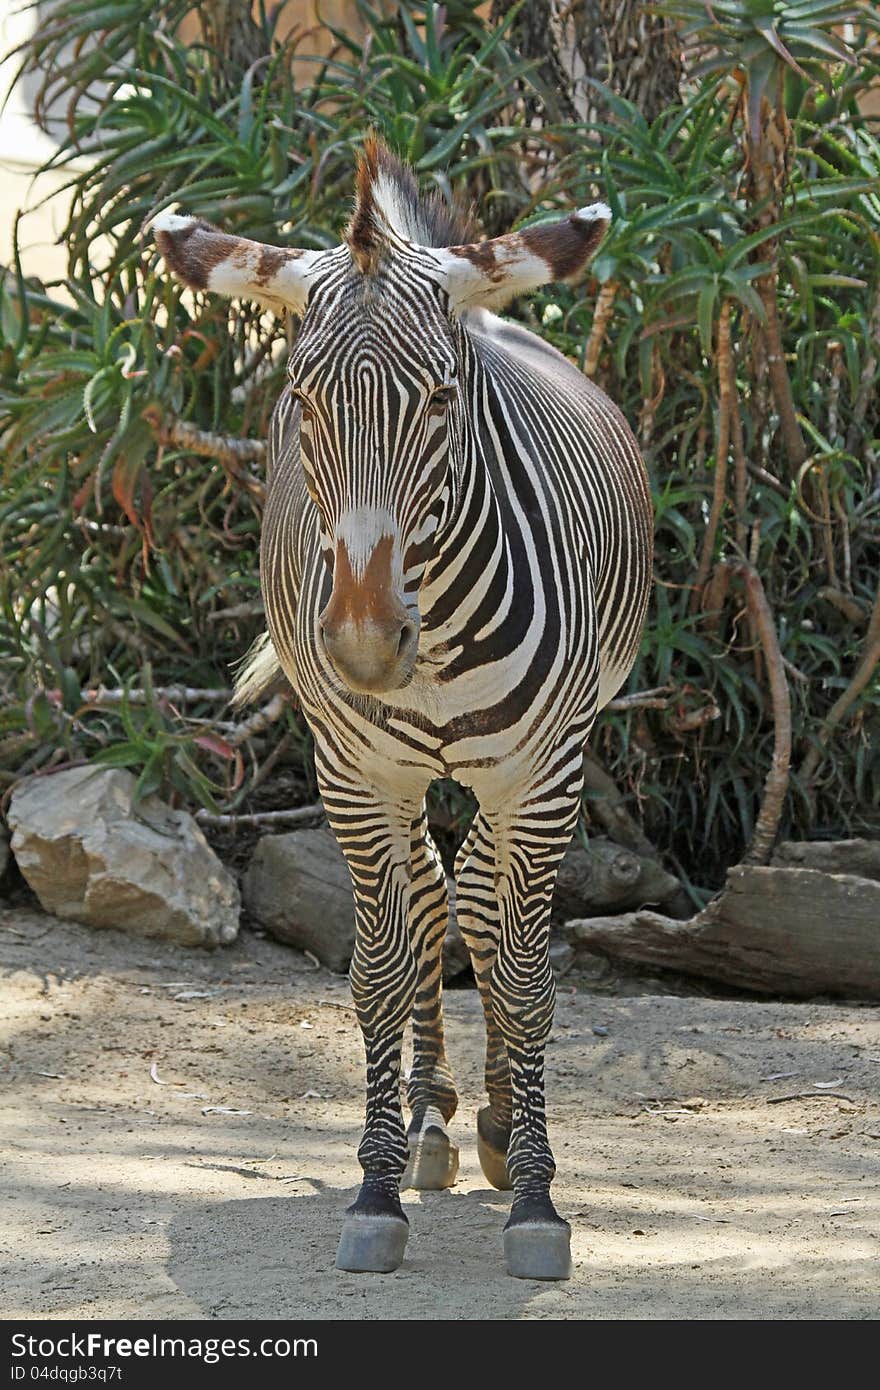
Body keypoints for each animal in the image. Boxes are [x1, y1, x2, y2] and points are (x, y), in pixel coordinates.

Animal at [154, 141, 653, 1278]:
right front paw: (377, 1187)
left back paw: (501, 1125)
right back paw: (429, 1119)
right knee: (431, 898)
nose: (364, 645)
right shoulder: (355, 773)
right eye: (303, 400)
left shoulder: (541, 773)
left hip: (525, 767)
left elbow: (525, 971)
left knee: (480, 907)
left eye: (438, 401)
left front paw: (538, 1199)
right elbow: (380, 966)